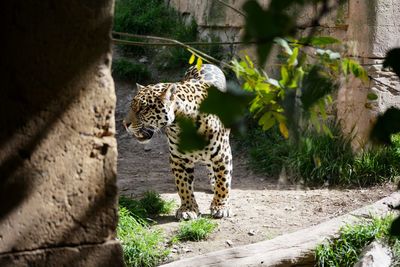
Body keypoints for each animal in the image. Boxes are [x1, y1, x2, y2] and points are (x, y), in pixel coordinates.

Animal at [123, 64, 233, 220]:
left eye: (143, 109)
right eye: (132, 107)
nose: (125, 124)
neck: (181, 123)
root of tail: (206, 63)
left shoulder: (222, 155)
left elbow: (223, 182)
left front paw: (221, 207)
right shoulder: (178, 159)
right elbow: (183, 186)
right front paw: (188, 209)